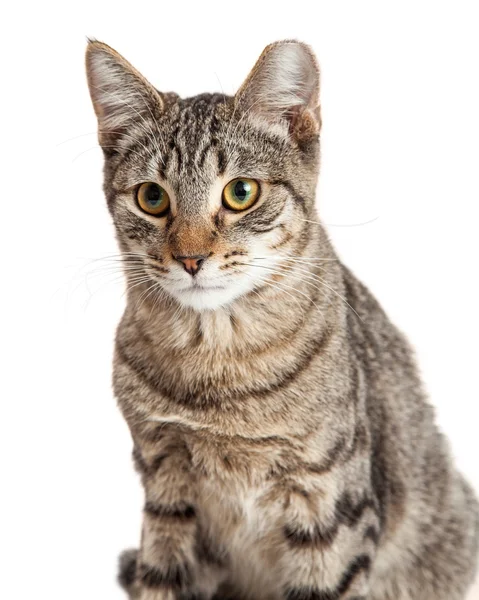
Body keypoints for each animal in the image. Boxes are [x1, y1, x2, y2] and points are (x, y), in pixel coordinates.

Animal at [86, 38, 479, 600]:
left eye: (240, 192)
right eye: (152, 197)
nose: (189, 259)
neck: (218, 365)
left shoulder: (330, 500)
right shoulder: (164, 486)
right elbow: (161, 578)